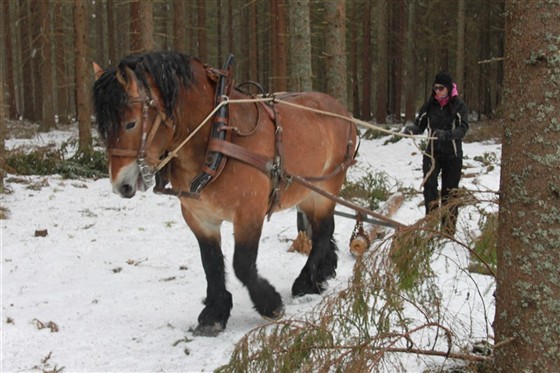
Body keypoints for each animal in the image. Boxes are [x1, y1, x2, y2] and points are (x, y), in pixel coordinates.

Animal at [91, 51, 354, 334]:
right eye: (102, 128)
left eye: (130, 123)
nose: (121, 185)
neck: (218, 137)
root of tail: (341, 109)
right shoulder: (199, 217)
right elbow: (211, 262)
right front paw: (214, 313)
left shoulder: (249, 213)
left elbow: (242, 264)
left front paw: (270, 303)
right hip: (305, 192)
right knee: (320, 229)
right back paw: (324, 272)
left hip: (327, 187)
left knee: (323, 231)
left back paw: (306, 282)